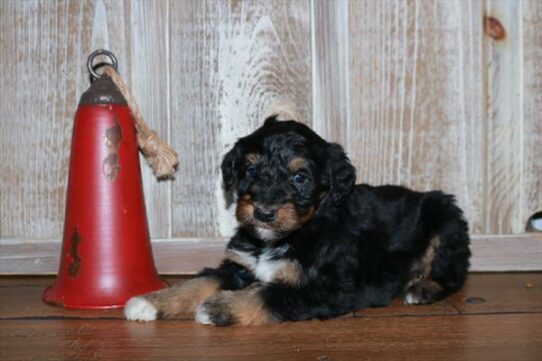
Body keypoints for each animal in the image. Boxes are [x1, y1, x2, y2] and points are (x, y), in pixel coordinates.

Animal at [124, 116, 472, 324]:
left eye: (299, 177)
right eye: (250, 169)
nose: (263, 212)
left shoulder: (329, 287)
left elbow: (269, 294)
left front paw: (218, 307)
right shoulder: (238, 265)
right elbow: (199, 282)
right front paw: (149, 302)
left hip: (447, 217)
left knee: (453, 273)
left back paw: (421, 288)